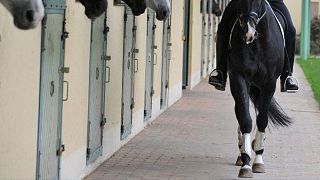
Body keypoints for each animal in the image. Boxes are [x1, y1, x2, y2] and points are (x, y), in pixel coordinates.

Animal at [228, 0, 292, 177]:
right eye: (239, 2)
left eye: (259, 2)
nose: (248, 33)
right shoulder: (239, 78)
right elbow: (245, 118)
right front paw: (246, 163)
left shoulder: (269, 83)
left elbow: (262, 119)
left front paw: (258, 161)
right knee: (240, 111)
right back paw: (242, 151)